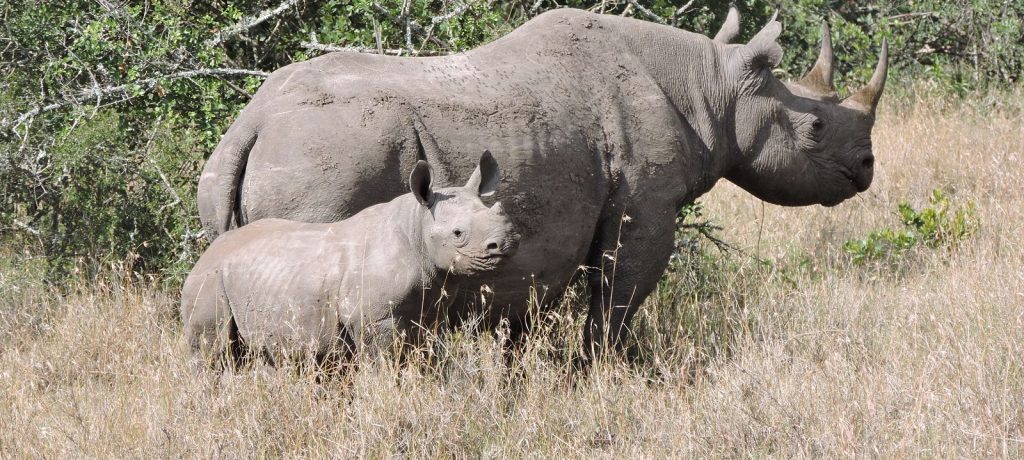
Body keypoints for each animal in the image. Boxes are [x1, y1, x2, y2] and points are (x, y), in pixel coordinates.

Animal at [180, 151, 516, 364]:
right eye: (458, 233)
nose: (505, 243)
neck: (417, 227)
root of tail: (205, 254)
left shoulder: (431, 312)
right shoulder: (375, 320)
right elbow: (383, 367)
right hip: (209, 281)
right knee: (214, 354)